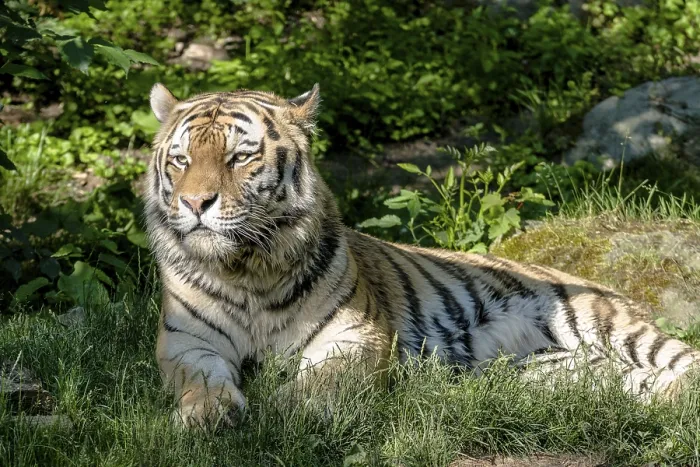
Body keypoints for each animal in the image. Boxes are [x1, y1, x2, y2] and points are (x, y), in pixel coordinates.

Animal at [145, 82, 699, 427]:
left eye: (241, 157)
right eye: (182, 159)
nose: (195, 203)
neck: (247, 269)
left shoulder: (356, 334)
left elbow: (320, 380)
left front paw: (285, 409)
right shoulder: (187, 342)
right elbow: (201, 381)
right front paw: (206, 415)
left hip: (603, 322)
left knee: (682, 360)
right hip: (559, 373)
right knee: (625, 383)